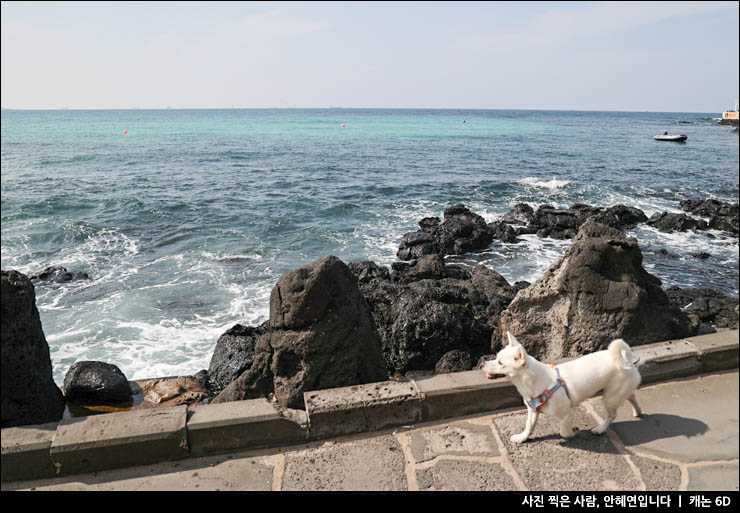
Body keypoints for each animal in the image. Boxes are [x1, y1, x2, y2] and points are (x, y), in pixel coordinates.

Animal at [480, 330, 640, 442]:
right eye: (496, 357)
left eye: (500, 363)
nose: (482, 362)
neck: (527, 383)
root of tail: (625, 360)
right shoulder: (533, 411)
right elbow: (529, 426)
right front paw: (522, 438)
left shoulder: (567, 414)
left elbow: (563, 432)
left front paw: (572, 432)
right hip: (618, 392)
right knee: (631, 396)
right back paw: (637, 411)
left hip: (610, 397)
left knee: (612, 415)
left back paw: (600, 429)